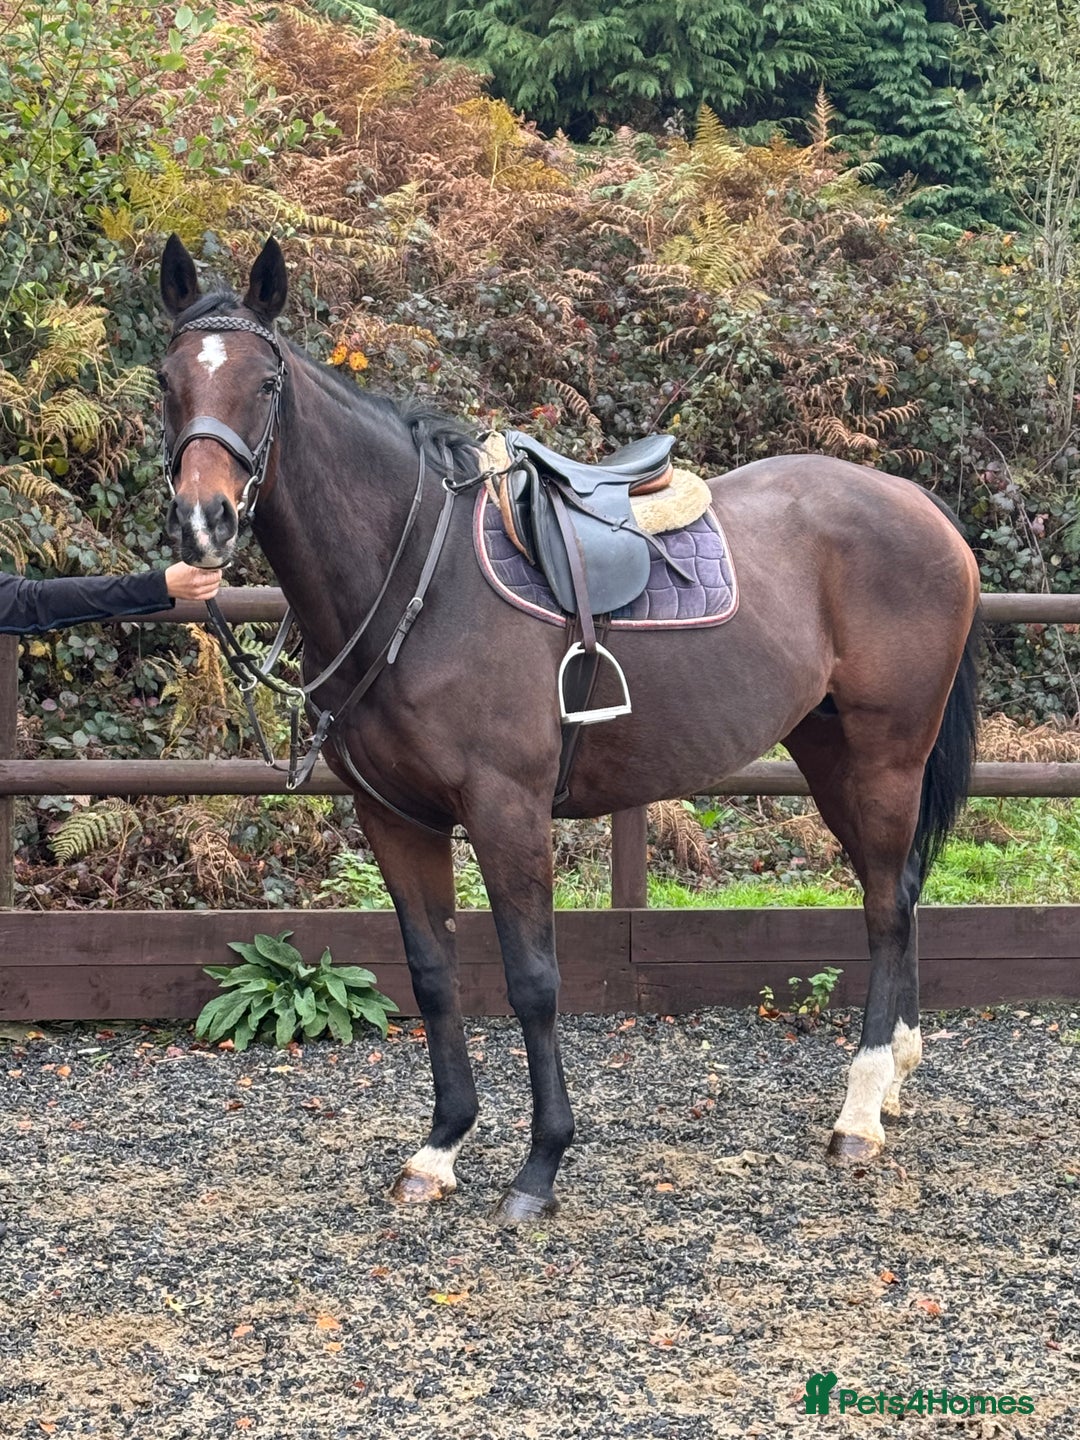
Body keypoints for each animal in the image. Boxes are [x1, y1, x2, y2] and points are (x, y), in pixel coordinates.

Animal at [157, 235, 980, 1224]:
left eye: (266, 381)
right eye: (167, 379)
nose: (204, 522)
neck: (418, 576)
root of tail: (918, 504)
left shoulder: (507, 810)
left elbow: (533, 982)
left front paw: (540, 1165)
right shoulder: (395, 818)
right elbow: (433, 976)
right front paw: (439, 1149)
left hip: (888, 752)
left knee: (888, 906)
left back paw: (858, 1116)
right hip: (830, 753)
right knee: (895, 890)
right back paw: (891, 1079)